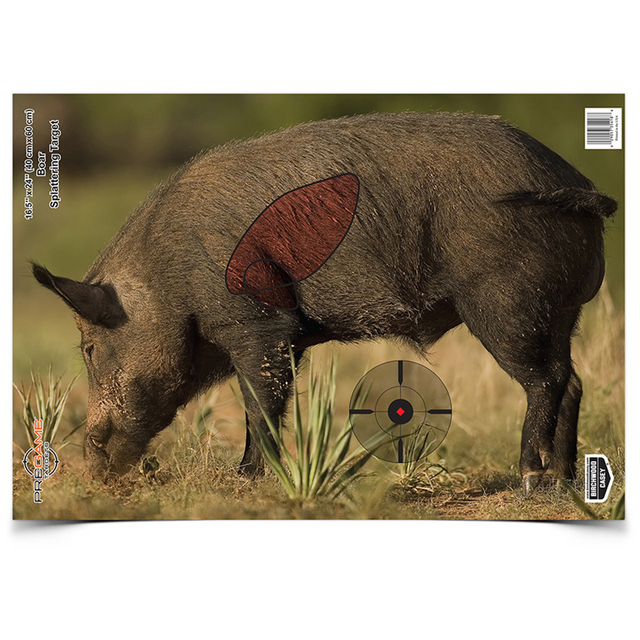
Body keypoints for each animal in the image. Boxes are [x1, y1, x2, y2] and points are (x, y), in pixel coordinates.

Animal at [32, 111, 617, 495]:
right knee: (572, 380)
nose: (90, 466)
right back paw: (565, 481)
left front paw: (244, 481)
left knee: (546, 380)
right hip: (561, 313)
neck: (167, 281)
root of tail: (579, 183)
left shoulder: (259, 322)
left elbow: (259, 404)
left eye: (89, 348)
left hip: (506, 303)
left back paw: (531, 477)